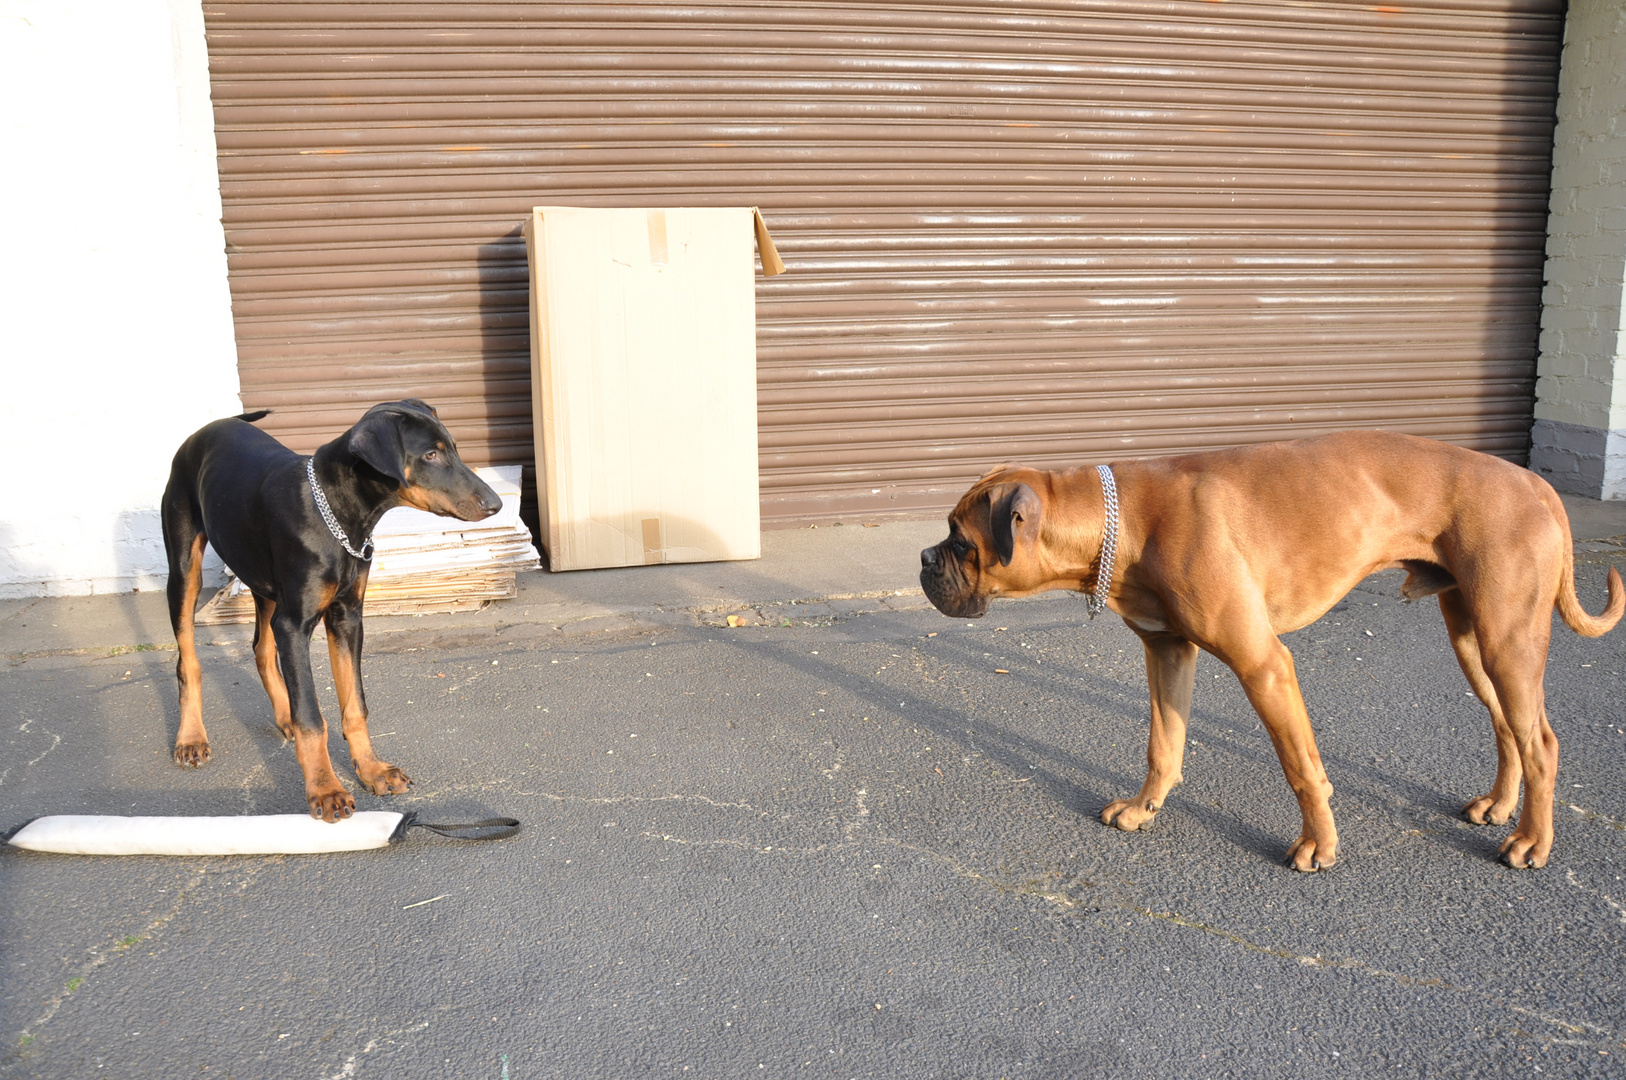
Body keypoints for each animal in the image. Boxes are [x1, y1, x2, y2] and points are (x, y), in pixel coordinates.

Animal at [163, 403, 500, 819]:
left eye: (453, 447)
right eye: (430, 455)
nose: (496, 504)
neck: (338, 516)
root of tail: (208, 428)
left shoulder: (347, 617)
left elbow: (355, 703)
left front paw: (372, 770)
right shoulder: (295, 624)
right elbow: (311, 716)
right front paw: (325, 789)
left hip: (262, 579)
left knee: (261, 648)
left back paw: (282, 715)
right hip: (184, 569)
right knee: (188, 658)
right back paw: (191, 738)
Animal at [923, 429, 1619, 871]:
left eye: (960, 540)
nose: (926, 559)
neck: (1122, 519)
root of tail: (1534, 482)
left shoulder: (1264, 666)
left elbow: (1301, 768)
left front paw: (1320, 847)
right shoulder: (1169, 653)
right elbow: (1163, 744)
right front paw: (1145, 809)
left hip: (1507, 640)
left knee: (1542, 742)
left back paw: (1532, 843)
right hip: (1475, 641)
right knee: (1508, 728)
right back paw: (1501, 807)